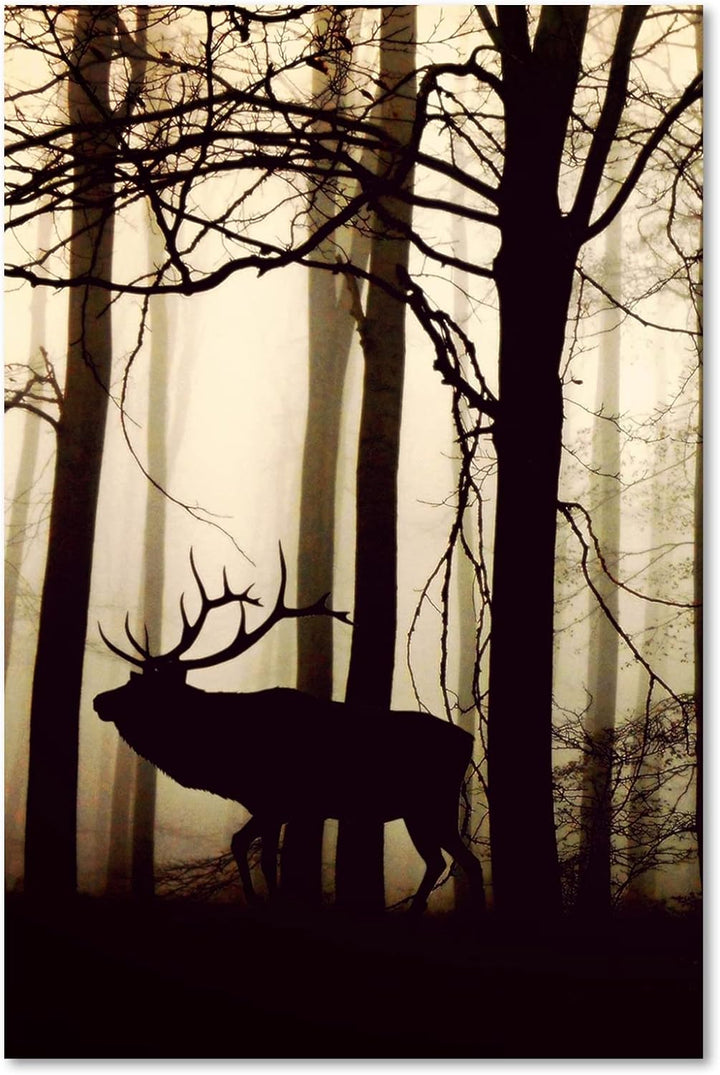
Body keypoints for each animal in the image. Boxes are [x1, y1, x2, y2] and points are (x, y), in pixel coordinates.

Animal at [93, 547, 486, 914]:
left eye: (142, 689)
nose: (98, 700)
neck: (223, 763)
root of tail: (467, 740)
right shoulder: (270, 805)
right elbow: (242, 843)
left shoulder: (276, 800)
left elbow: (265, 858)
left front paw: (271, 903)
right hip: (422, 810)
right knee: (447, 861)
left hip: (431, 804)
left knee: (460, 861)